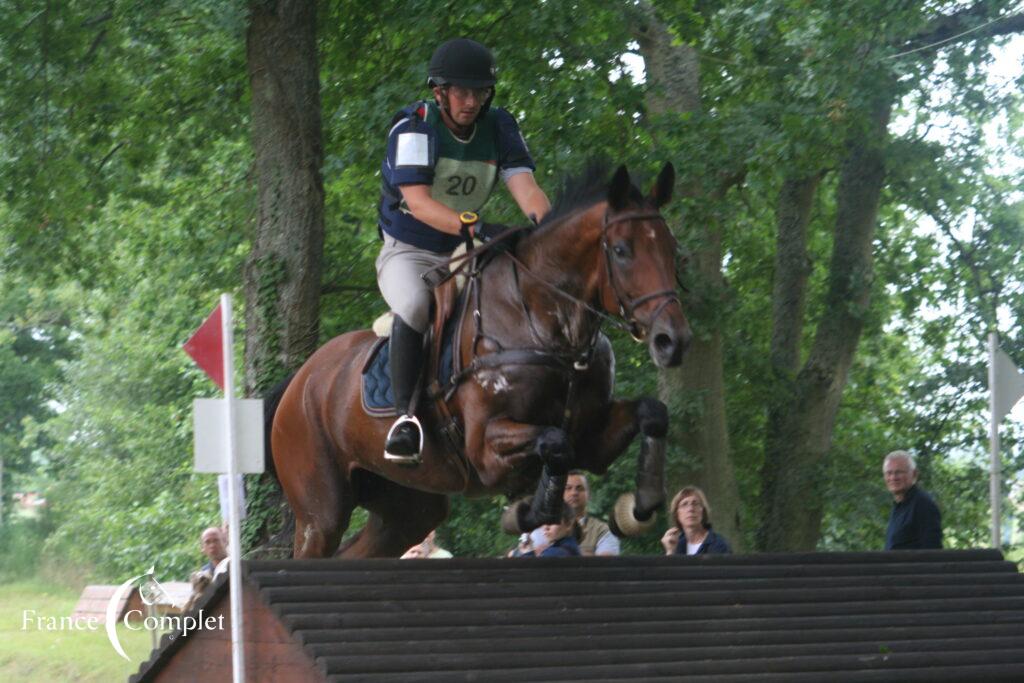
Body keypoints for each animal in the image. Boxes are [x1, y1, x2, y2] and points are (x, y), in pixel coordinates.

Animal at [268, 162, 692, 557]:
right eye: (621, 251)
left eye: (672, 250)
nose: (672, 341)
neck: (547, 326)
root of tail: (299, 380)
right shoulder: (485, 448)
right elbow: (555, 443)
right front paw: (530, 513)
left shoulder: (592, 438)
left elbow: (651, 413)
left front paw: (644, 503)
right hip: (320, 512)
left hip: (408, 508)